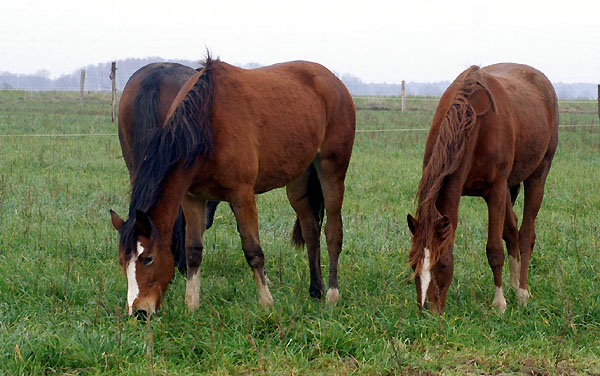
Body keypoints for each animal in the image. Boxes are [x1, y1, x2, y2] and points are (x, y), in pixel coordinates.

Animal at [110, 55, 356, 314]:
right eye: (122, 262)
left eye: (148, 258)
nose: (139, 312)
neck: (205, 125)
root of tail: (333, 81)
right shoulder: (192, 197)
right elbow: (193, 251)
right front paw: (191, 305)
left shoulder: (242, 195)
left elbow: (253, 250)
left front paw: (266, 302)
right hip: (298, 179)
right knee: (311, 231)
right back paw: (315, 290)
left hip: (332, 169)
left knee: (333, 231)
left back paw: (331, 293)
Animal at [406, 64, 560, 314]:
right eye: (412, 262)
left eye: (443, 264)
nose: (428, 312)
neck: (474, 123)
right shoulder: (498, 189)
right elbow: (505, 235)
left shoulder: (495, 191)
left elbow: (494, 250)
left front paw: (499, 303)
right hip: (510, 187)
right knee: (512, 230)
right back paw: (514, 284)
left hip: (537, 175)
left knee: (526, 234)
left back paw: (522, 292)